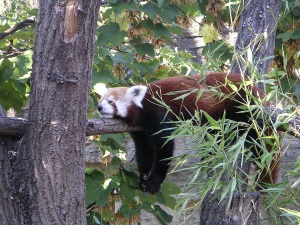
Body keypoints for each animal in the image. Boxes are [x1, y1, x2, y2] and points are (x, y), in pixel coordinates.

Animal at [98, 72, 282, 193]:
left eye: (111, 101)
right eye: (101, 100)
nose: (99, 107)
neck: (141, 107)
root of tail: (258, 91)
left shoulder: (157, 112)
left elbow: (164, 146)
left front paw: (154, 182)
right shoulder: (140, 131)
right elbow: (144, 152)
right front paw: (143, 178)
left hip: (243, 106)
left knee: (255, 139)